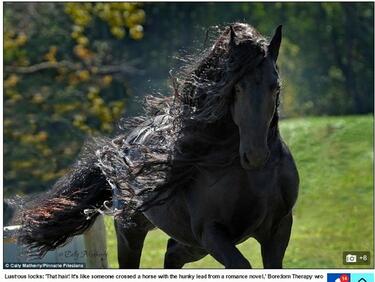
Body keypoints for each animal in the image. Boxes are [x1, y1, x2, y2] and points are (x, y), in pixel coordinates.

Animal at [18, 22, 300, 268]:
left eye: (275, 87)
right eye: (237, 88)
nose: (255, 155)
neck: (253, 178)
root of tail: (122, 146)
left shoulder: (278, 230)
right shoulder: (212, 233)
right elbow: (241, 265)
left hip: (191, 244)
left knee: (171, 255)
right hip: (133, 232)